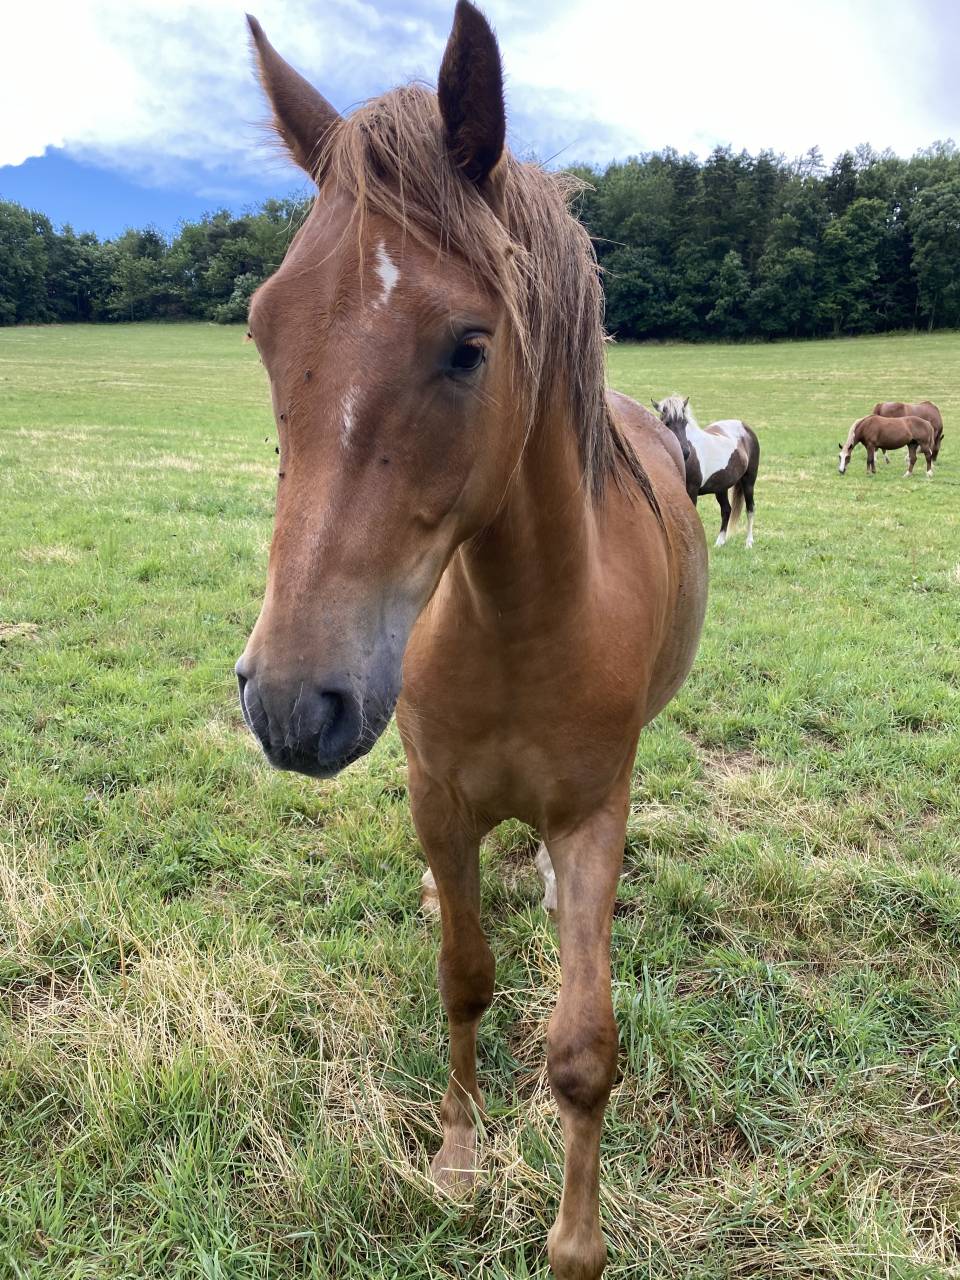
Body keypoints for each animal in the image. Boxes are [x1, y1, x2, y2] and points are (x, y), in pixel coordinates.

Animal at [235, 6, 708, 1276]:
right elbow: (463, 975)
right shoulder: (436, 796)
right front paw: (456, 1155)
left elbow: (584, 1050)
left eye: (466, 344)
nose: (291, 700)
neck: (520, 620)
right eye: (264, 329)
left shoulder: (594, 814)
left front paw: (576, 1241)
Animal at [653, 395, 760, 548]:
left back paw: (749, 543)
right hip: (721, 488)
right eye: (666, 423)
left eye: (685, 422)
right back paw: (720, 542)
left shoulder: (691, 491)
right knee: (726, 510)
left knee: (750, 508)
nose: (685, 452)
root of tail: (745, 427)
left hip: (749, 481)